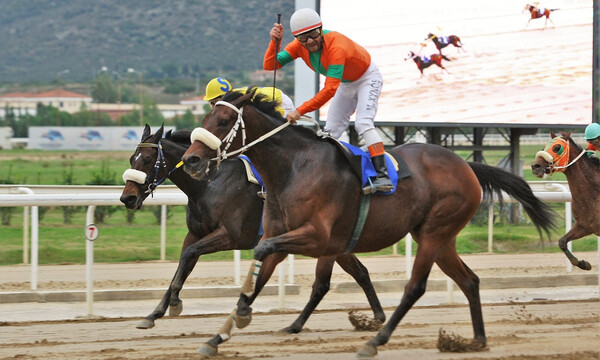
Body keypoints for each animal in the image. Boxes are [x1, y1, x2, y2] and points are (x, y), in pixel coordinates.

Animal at [120, 124, 386, 332]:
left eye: (147, 160)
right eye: (132, 159)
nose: (127, 198)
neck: (209, 184)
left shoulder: (230, 235)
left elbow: (187, 257)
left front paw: (175, 303)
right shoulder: (195, 233)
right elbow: (183, 265)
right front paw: (153, 314)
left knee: (357, 271)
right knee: (361, 271)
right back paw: (376, 318)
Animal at [180, 90, 556, 358]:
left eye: (224, 120)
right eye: (205, 116)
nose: (192, 159)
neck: (294, 168)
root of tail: (467, 166)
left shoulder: (317, 238)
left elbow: (263, 255)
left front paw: (242, 316)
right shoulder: (283, 234)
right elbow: (259, 274)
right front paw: (218, 335)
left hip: (435, 232)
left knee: (415, 287)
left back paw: (376, 340)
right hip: (440, 236)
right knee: (470, 281)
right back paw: (475, 340)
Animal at [532, 131, 592, 270]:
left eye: (557, 147)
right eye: (544, 147)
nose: (535, 166)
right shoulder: (584, 226)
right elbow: (562, 242)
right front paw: (583, 263)